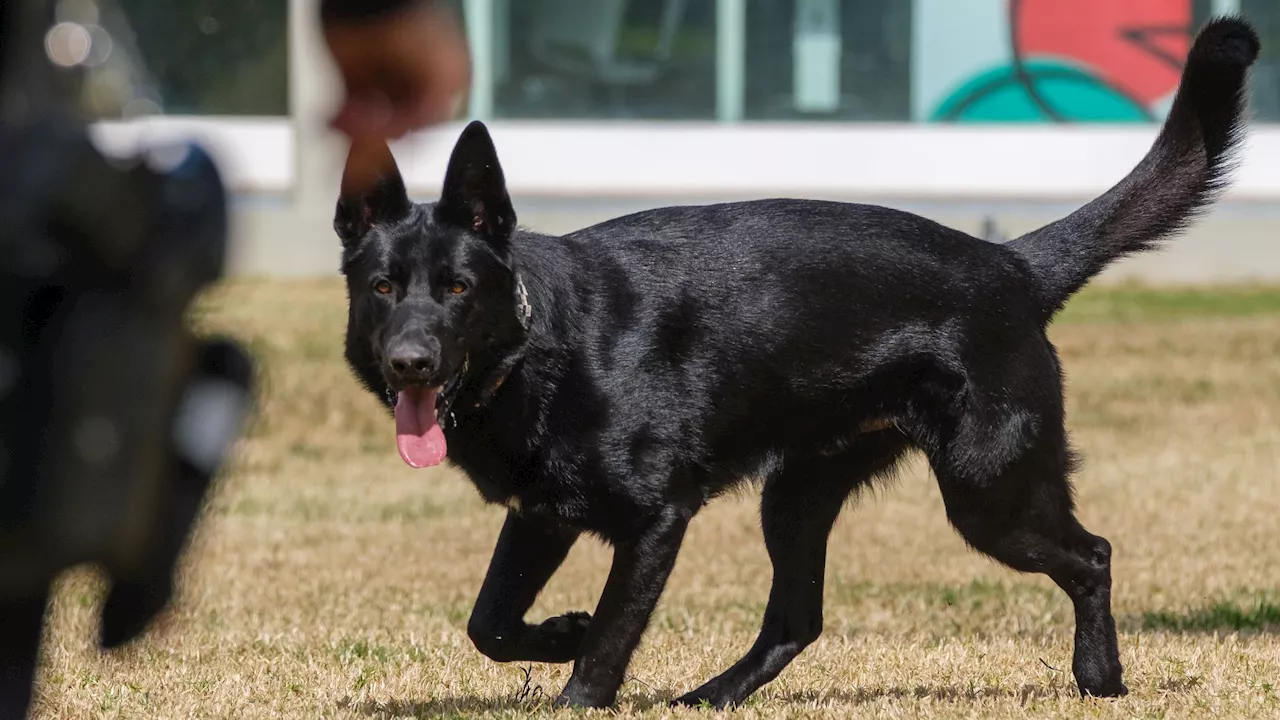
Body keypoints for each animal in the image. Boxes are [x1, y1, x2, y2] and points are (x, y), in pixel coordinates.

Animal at [332, 19, 1259, 707]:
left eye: (457, 288)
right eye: (383, 287)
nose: (411, 363)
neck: (538, 348)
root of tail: (1014, 265)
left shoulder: (656, 520)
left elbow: (608, 642)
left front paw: (577, 675)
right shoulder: (541, 516)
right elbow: (489, 622)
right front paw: (558, 632)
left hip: (988, 492)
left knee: (1093, 555)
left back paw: (1100, 678)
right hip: (798, 494)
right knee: (797, 620)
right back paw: (714, 695)